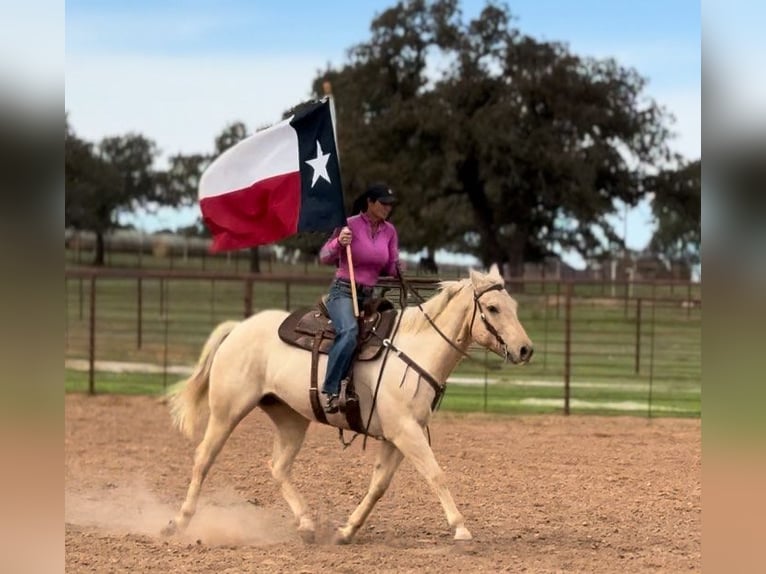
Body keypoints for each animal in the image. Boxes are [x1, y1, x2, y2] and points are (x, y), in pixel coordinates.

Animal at [162, 266, 536, 544]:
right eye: (492, 308)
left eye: (515, 307)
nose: (525, 349)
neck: (414, 351)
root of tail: (239, 328)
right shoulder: (406, 432)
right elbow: (435, 474)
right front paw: (460, 527)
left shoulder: (396, 437)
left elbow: (379, 485)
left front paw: (346, 530)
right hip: (227, 411)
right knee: (203, 459)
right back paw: (179, 521)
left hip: (291, 418)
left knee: (278, 466)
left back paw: (307, 525)